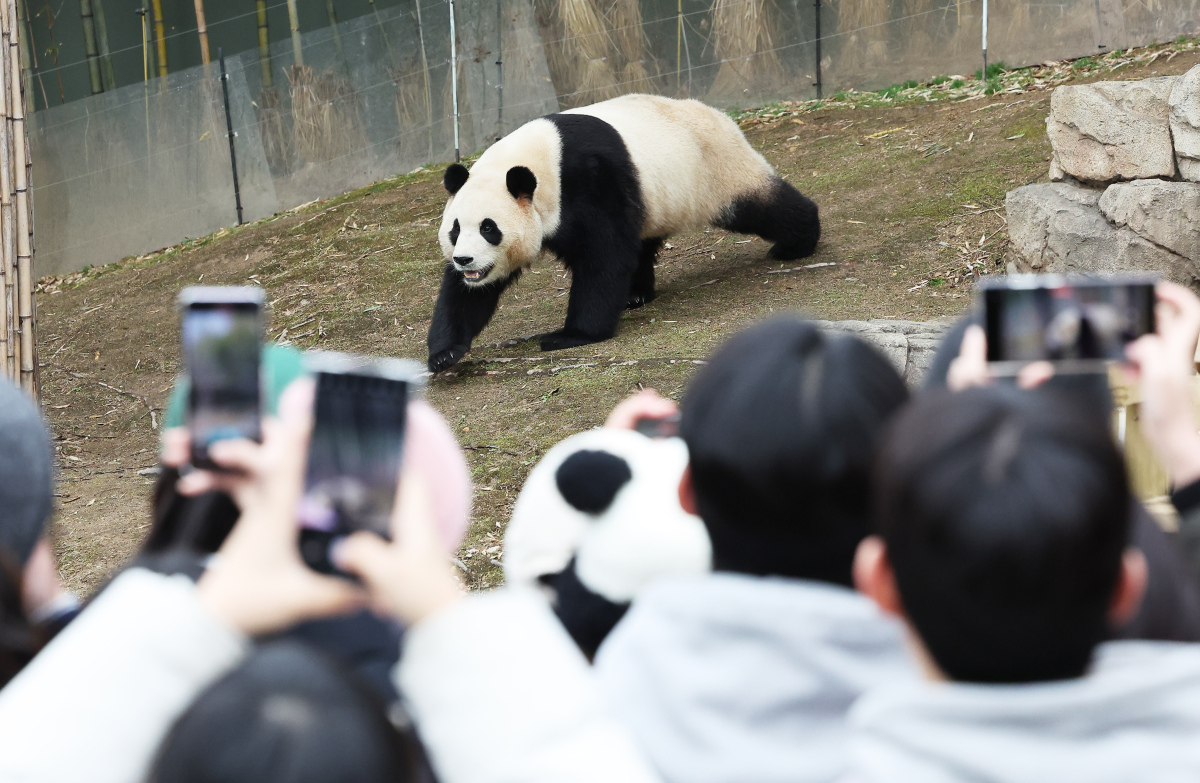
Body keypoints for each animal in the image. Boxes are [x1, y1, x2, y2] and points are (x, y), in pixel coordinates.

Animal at [424, 93, 825, 372]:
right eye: (455, 230)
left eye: (489, 228)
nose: (464, 259)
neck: (540, 160)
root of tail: (719, 114)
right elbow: (468, 294)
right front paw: (445, 353)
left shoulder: (588, 179)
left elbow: (603, 256)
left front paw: (572, 335)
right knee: (642, 242)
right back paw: (635, 294)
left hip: (715, 168)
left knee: (760, 206)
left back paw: (799, 242)